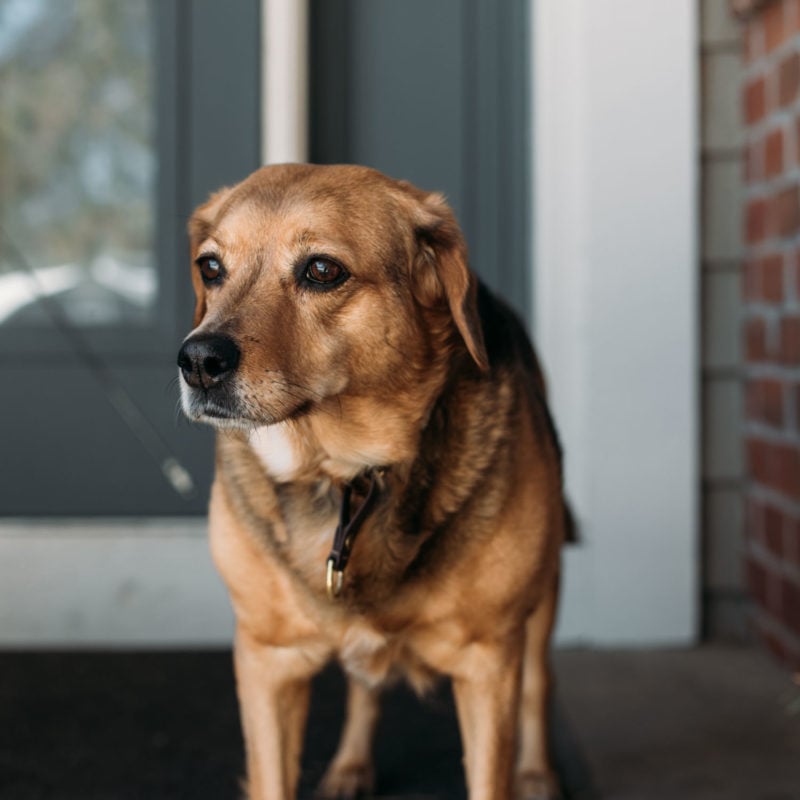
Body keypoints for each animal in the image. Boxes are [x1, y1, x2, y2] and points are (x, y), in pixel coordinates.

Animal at [178, 164, 564, 800]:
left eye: (321, 270)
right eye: (210, 267)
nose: (197, 361)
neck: (344, 477)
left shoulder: (488, 661)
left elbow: (496, 762)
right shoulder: (268, 661)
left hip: (541, 601)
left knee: (538, 684)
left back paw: (537, 772)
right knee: (366, 689)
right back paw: (350, 767)